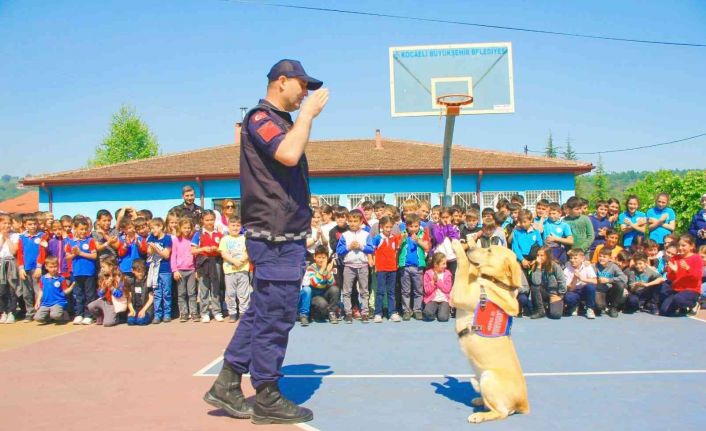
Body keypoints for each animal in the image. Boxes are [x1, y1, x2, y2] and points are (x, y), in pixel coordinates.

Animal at [452, 241, 528, 424]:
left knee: (501, 412)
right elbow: (470, 270)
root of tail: (523, 404)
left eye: (489, 250)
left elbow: (463, 265)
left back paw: (479, 415)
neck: (495, 282)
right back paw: (480, 400)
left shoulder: (459, 294)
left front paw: (457, 246)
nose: (471, 247)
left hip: (488, 377)